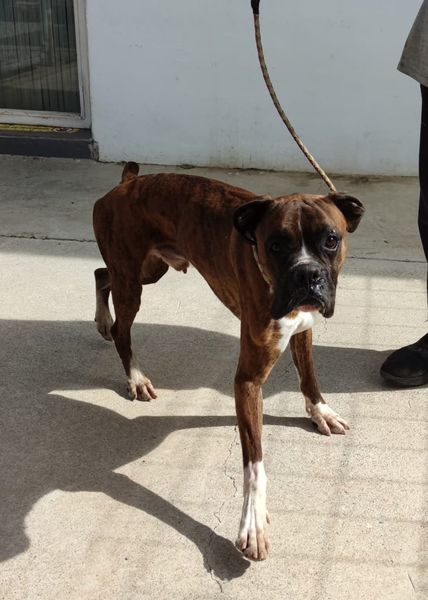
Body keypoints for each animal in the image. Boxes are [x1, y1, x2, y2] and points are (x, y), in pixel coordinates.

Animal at [93, 162, 364, 561]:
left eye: (331, 240)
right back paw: (134, 374)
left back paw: (101, 320)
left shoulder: (303, 329)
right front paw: (252, 523)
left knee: (101, 274)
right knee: (121, 323)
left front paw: (321, 413)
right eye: (275, 245)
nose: (307, 274)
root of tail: (125, 185)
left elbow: (309, 377)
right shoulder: (248, 380)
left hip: (148, 270)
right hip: (134, 279)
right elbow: (255, 464)